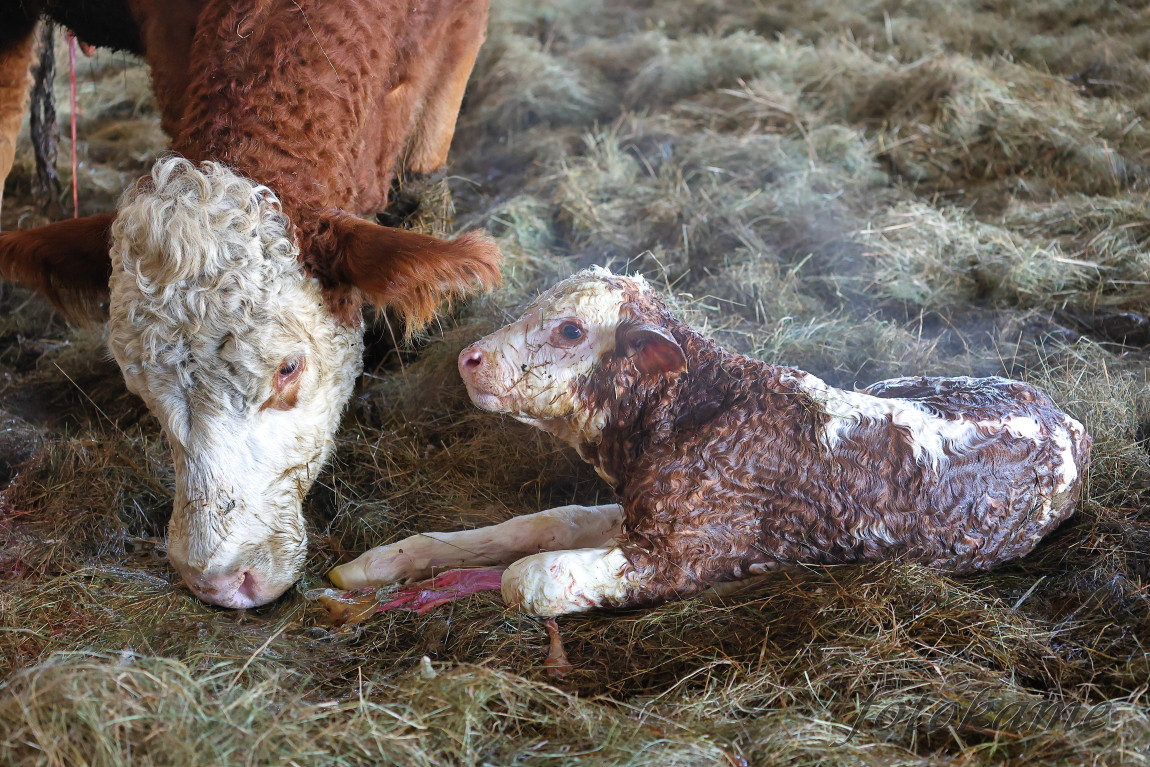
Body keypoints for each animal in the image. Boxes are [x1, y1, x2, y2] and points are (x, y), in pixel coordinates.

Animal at [328, 270, 1090, 616]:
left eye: (572, 330)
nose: (469, 359)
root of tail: (1065, 417)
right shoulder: (640, 511)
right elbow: (537, 525)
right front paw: (374, 568)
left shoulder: (685, 551)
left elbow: (529, 577)